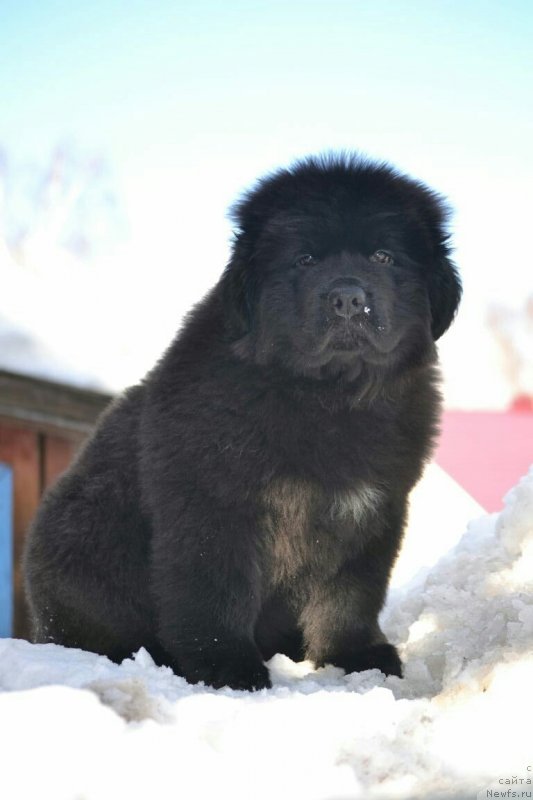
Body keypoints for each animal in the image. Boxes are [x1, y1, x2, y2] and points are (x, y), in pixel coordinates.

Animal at [22, 153, 460, 692]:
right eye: (305, 260)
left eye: (383, 257)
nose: (347, 299)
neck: (327, 397)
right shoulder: (214, 506)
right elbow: (215, 592)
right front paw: (227, 668)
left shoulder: (373, 509)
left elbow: (351, 593)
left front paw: (357, 657)